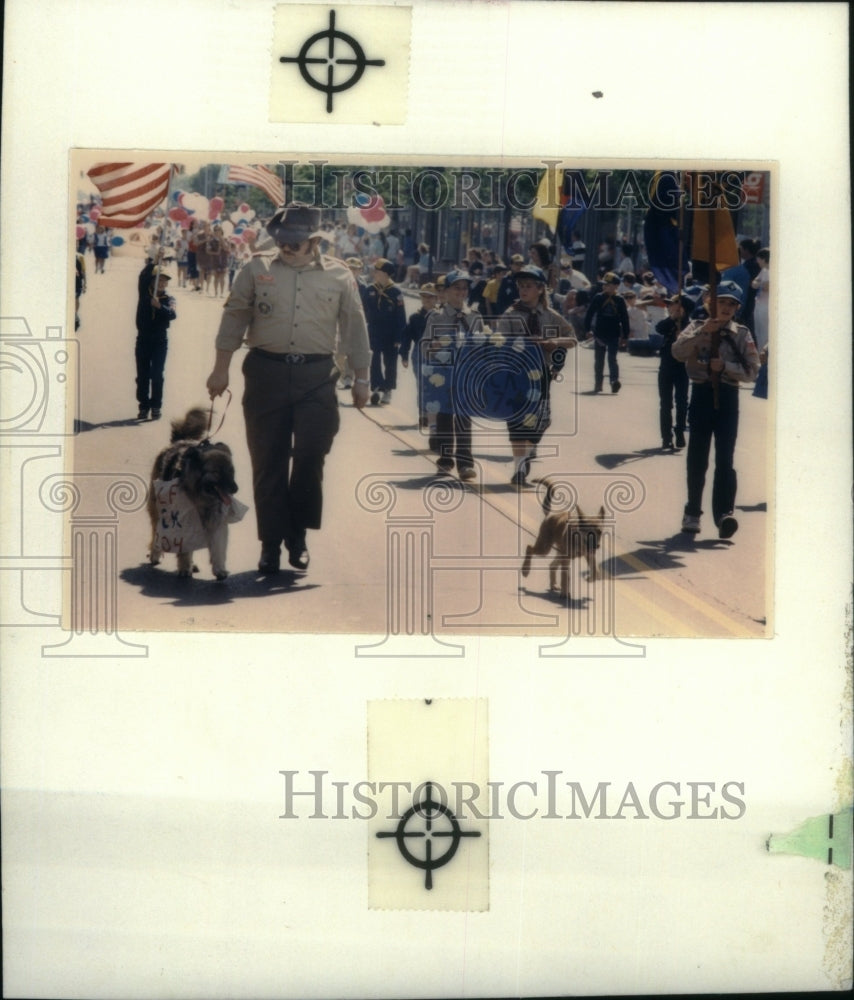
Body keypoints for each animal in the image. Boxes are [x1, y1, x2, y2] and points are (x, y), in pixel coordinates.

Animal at [148, 404, 239, 580]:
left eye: (231, 471)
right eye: (217, 473)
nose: (235, 489)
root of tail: (179, 440)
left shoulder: (215, 521)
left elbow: (218, 548)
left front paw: (219, 569)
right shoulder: (183, 520)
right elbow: (184, 550)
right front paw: (184, 568)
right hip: (158, 510)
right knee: (155, 532)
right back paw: (155, 555)